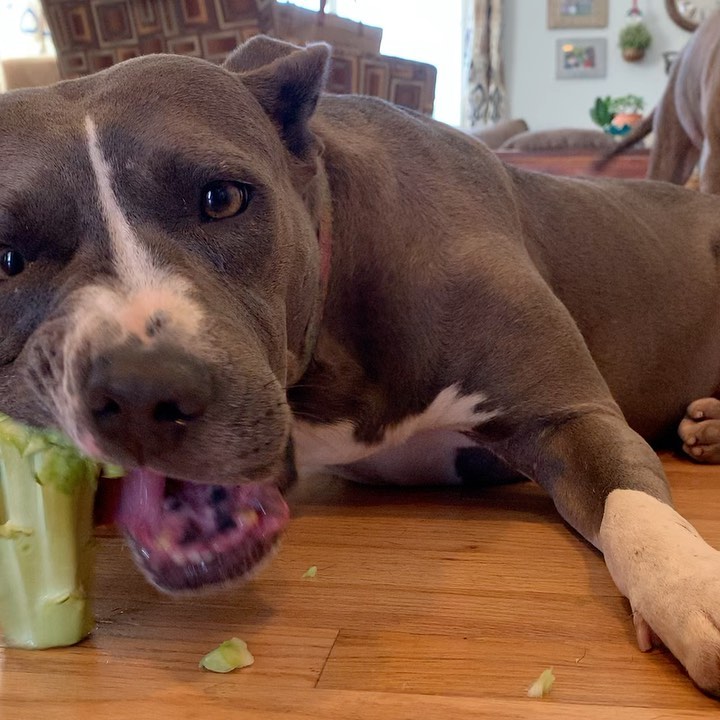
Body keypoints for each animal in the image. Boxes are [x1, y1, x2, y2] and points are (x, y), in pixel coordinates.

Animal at [2, 36, 720, 696]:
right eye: (8, 257)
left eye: (222, 198)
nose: (140, 394)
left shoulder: (570, 416)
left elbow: (633, 509)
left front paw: (691, 592)